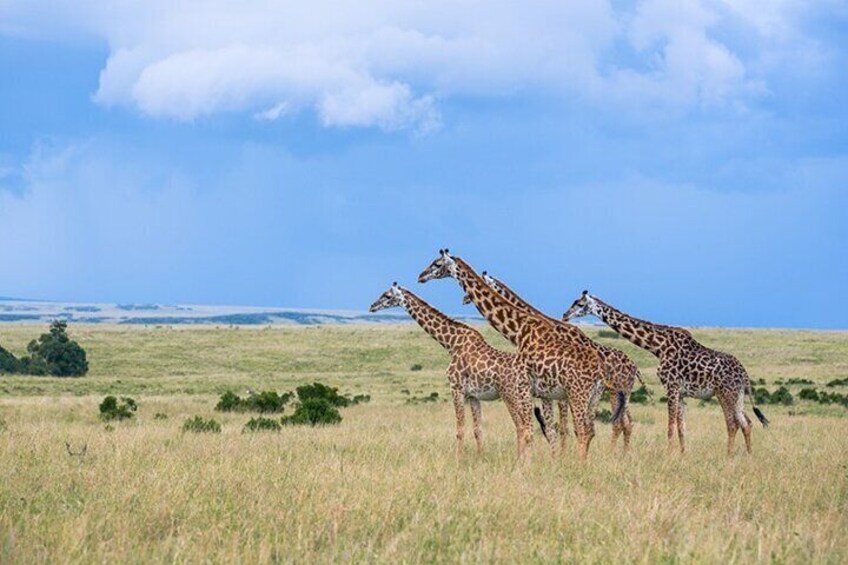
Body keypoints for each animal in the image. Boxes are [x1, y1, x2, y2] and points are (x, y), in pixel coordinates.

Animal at [369, 283, 535, 457]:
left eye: (387, 296)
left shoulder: (456, 388)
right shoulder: (473, 395)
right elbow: (477, 430)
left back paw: (520, 460)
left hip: (509, 394)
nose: (372, 306)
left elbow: (460, 430)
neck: (451, 343)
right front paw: (480, 457)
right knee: (526, 427)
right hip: (521, 396)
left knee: (522, 427)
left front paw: (459, 458)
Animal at [418, 249, 611, 459]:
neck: (519, 331)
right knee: (589, 429)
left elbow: (528, 430)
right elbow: (543, 430)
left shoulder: (525, 386)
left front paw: (526, 464)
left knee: (582, 430)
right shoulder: (542, 391)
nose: (421, 276)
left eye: (437, 264)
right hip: (593, 396)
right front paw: (549, 461)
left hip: (577, 394)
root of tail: (600, 371)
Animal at [464, 273, 644, 451]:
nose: (464, 299)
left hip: (617, 391)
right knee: (627, 424)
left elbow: (564, 427)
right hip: (619, 393)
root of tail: (635, 367)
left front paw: (563, 454)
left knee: (619, 424)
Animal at [563, 291, 769, 456]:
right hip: (737, 394)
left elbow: (670, 426)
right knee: (747, 423)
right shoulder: (681, 392)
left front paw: (668, 455)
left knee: (733, 424)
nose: (565, 315)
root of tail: (744, 373)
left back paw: (729, 457)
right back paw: (749, 456)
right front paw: (682, 455)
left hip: (726, 393)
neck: (658, 346)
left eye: (579, 304)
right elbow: (681, 427)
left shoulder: (671, 386)